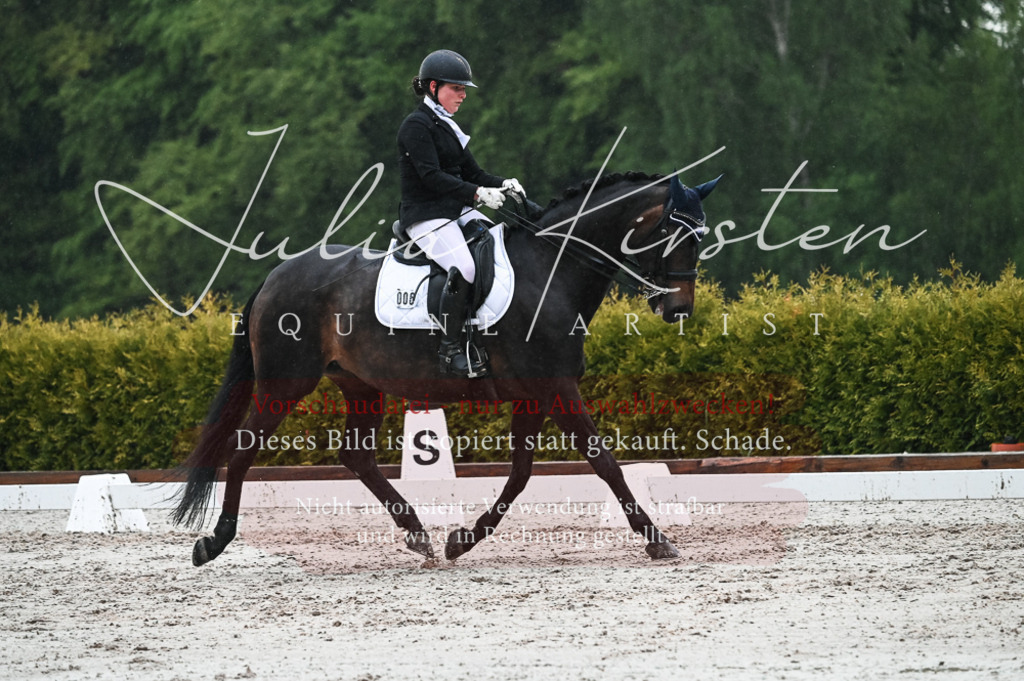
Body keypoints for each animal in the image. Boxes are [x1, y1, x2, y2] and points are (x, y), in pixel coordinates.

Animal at [171, 169, 721, 566]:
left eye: (700, 237)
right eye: (672, 233)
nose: (678, 309)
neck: (552, 270)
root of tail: (275, 275)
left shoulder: (535, 394)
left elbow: (521, 474)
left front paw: (462, 540)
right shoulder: (557, 389)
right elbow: (603, 462)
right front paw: (657, 540)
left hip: (360, 385)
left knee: (357, 456)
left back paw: (419, 536)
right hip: (285, 383)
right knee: (243, 449)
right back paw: (214, 542)